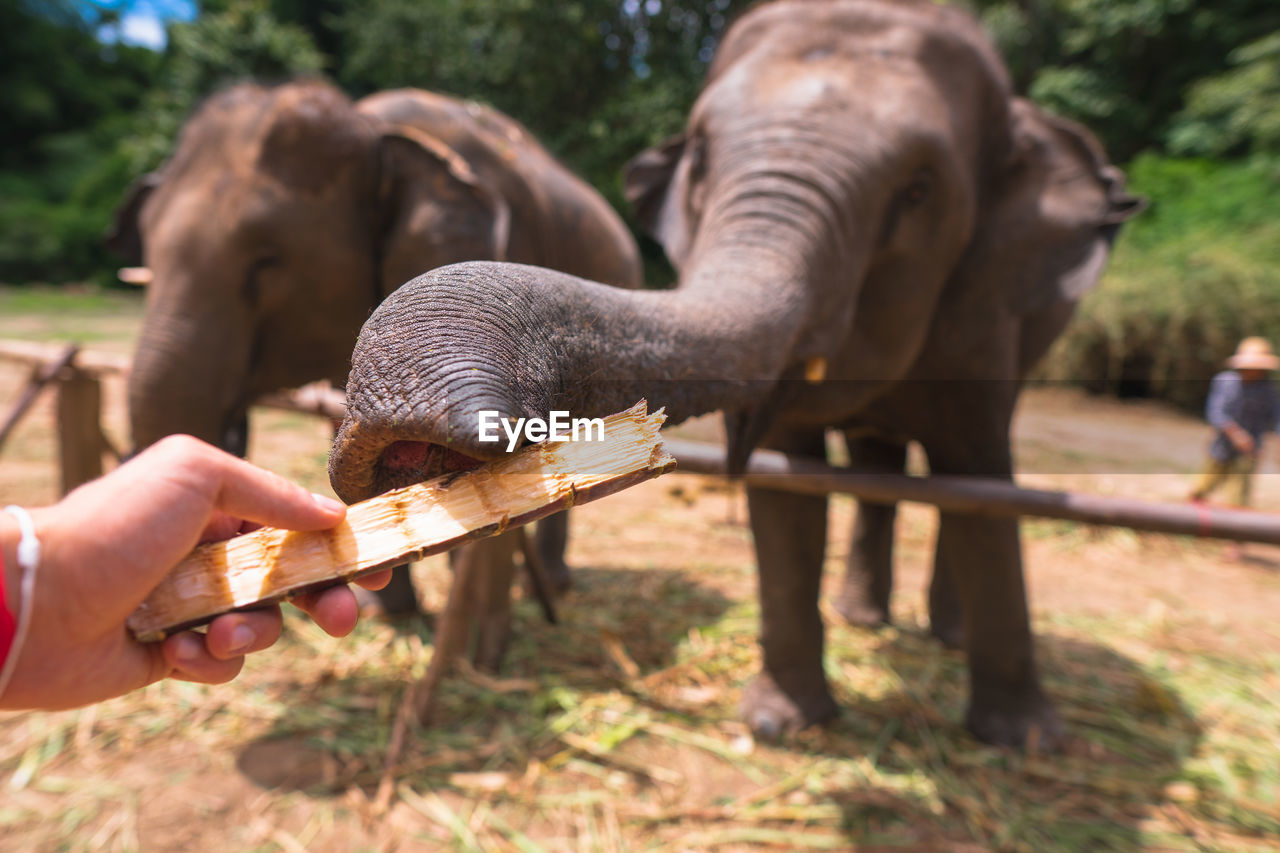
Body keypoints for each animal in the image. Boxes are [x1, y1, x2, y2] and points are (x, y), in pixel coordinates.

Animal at [325, 0, 1146, 742]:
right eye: (701, 162)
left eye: (919, 192)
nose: (416, 445)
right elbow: (786, 487)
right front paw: (782, 723)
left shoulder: (987, 309)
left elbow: (981, 479)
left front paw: (1023, 741)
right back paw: (864, 617)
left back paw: (942, 635)